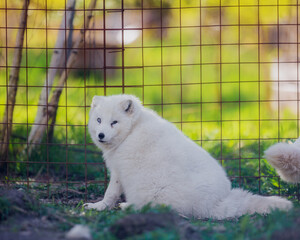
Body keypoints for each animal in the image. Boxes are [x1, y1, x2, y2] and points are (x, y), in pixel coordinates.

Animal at [84, 94, 292, 219]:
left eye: (114, 122)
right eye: (99, 120)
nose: (101, 135)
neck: (132, 131)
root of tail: (217, 202)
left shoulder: (118, 172)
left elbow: (110, 193)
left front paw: (100, 206)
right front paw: (98, 207)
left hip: (153, 188)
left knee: (164, 209)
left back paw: (128, 207)